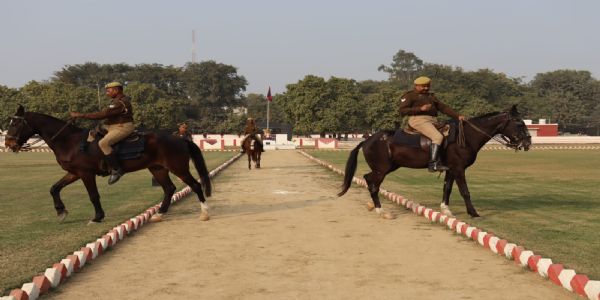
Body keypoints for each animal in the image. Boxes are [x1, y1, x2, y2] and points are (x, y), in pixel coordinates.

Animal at [4, 105, 213, 223]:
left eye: (16, 123)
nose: (8, 143)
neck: (70, 141)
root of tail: (180, 139)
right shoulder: (74, 173)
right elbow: (54, 188)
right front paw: (61, 211)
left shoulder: (85, 174)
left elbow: (93, 195)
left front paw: (97, 217)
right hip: (157, 169)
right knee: (169, 189)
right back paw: (160, 214)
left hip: (178, 168)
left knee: (195, 185)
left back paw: (204, 213)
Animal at [340, 105, 532, 218]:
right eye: (519, 124)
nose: (528, 143)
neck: (466, 137)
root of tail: (367, 140)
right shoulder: (459, 169)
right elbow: (465, 192)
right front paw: (473, 212)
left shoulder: (451, 169)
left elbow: (447, 188)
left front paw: (445, 209)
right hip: (382, 169)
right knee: (373, 184)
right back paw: (381, 210)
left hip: (388, 167)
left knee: (368, 179)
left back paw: (374, 206)